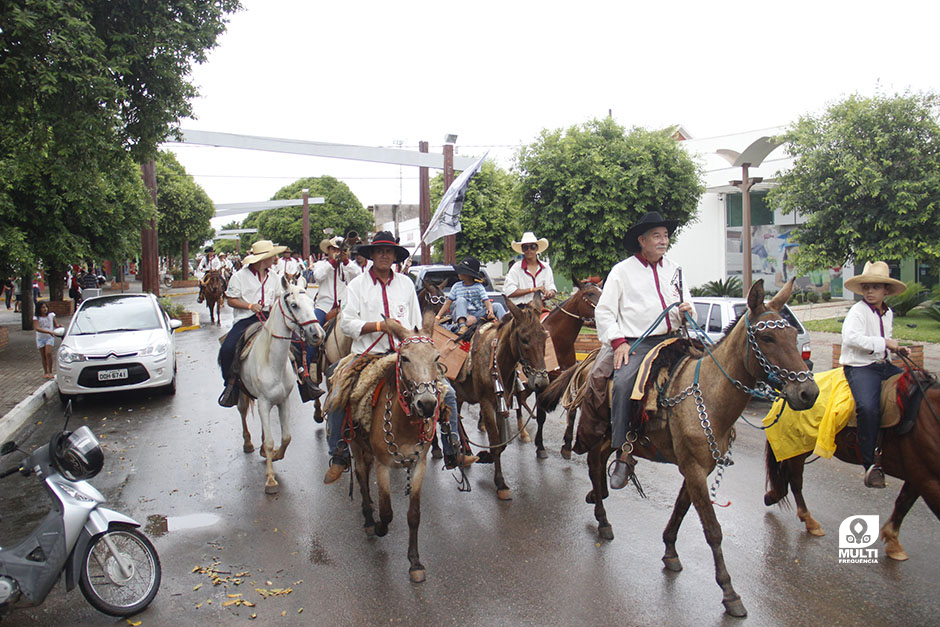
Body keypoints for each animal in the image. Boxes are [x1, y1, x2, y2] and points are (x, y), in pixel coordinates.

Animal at [239, 278, 326, 494]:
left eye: (312, 303)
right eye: (294, 305)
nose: (317, 335)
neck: (272, 363)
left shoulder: (283, 401)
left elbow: (286, 437)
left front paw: (277, 454)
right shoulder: (263, 403)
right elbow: (271, 441)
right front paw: (270, 480)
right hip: (242, 394)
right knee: (243, 413)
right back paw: (248, 443)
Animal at [346, 316, 446, 588]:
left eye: (436, 357)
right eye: (405, 358)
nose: (427, 404)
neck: (405, 424)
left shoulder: (419, 464)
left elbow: (414, 515)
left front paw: (415, 563)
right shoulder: (383, 464)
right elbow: (387, 511)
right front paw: (380, 526)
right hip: (356, 444)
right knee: (361, 474)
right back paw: (369, 519)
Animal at [450, 294, 552, 500]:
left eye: (544, 337)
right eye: (524, 339)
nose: (541, 382)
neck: (497, 360)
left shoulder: (502, 402)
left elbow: (500, 444)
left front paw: (486, 457)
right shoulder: (486, 404)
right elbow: (496, 443)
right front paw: (501, 483)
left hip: (460, 393)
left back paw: (467, 451)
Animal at [540, 280, 820, 620]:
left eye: (792, 334)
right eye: (766, 337)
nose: (808, 392)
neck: (709, 395)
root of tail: (591, 358)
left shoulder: (698, 469)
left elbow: (681, 510)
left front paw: (670, 551)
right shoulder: (695, 469)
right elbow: (712, 529)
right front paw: (729, 592)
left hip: (610, 436)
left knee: (599, 462)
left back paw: (601, 496)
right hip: (599, 430)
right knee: (594, 462)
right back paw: (603, 517)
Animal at [764, 372, 940, 564]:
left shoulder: (918, 477)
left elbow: (903, 503)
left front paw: (893, 542)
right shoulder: (927, 480)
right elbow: (905, 503)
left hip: (801, 447)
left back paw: (774, 495)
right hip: (798, 447)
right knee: (795, 481)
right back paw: (808, 519)